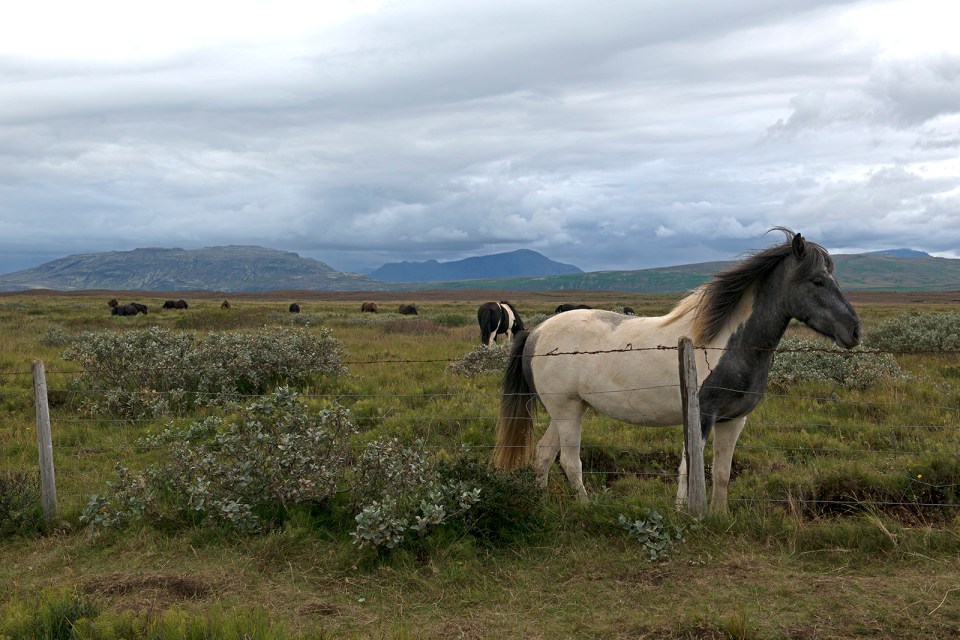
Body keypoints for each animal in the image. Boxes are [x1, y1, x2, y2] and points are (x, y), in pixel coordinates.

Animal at [493, 229, 862, 512]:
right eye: (817, 281)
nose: (854, 331)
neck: (728, 345)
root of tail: (537, 332)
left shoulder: (733, 420)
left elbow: (722, 472)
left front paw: (720, 515)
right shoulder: (701, 417)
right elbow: (689, 469)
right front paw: (686, 513)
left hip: (571, 409)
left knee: (543, 454)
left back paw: (541, 503)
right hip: (566, 409)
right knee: (570, 461)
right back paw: (585, 508)